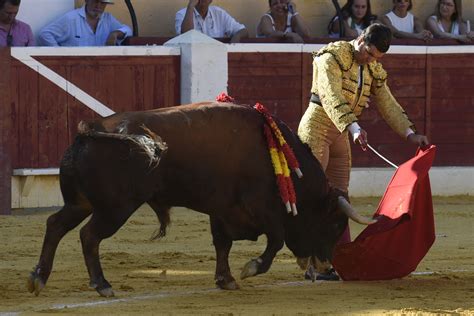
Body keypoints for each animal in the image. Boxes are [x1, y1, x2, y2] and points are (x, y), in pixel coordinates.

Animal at [27, 102, 374, 298]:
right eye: (334, 224)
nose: (327, 264)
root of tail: (89, 131)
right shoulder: (261, 207)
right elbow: (274, 240)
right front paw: (250, 268)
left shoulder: (222, 209)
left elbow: (222, 243)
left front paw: (226, 280)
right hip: (115, 208)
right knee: (89, 236)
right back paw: (101, 284)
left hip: (80, 203)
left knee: (55, 225)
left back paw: (38, 278)